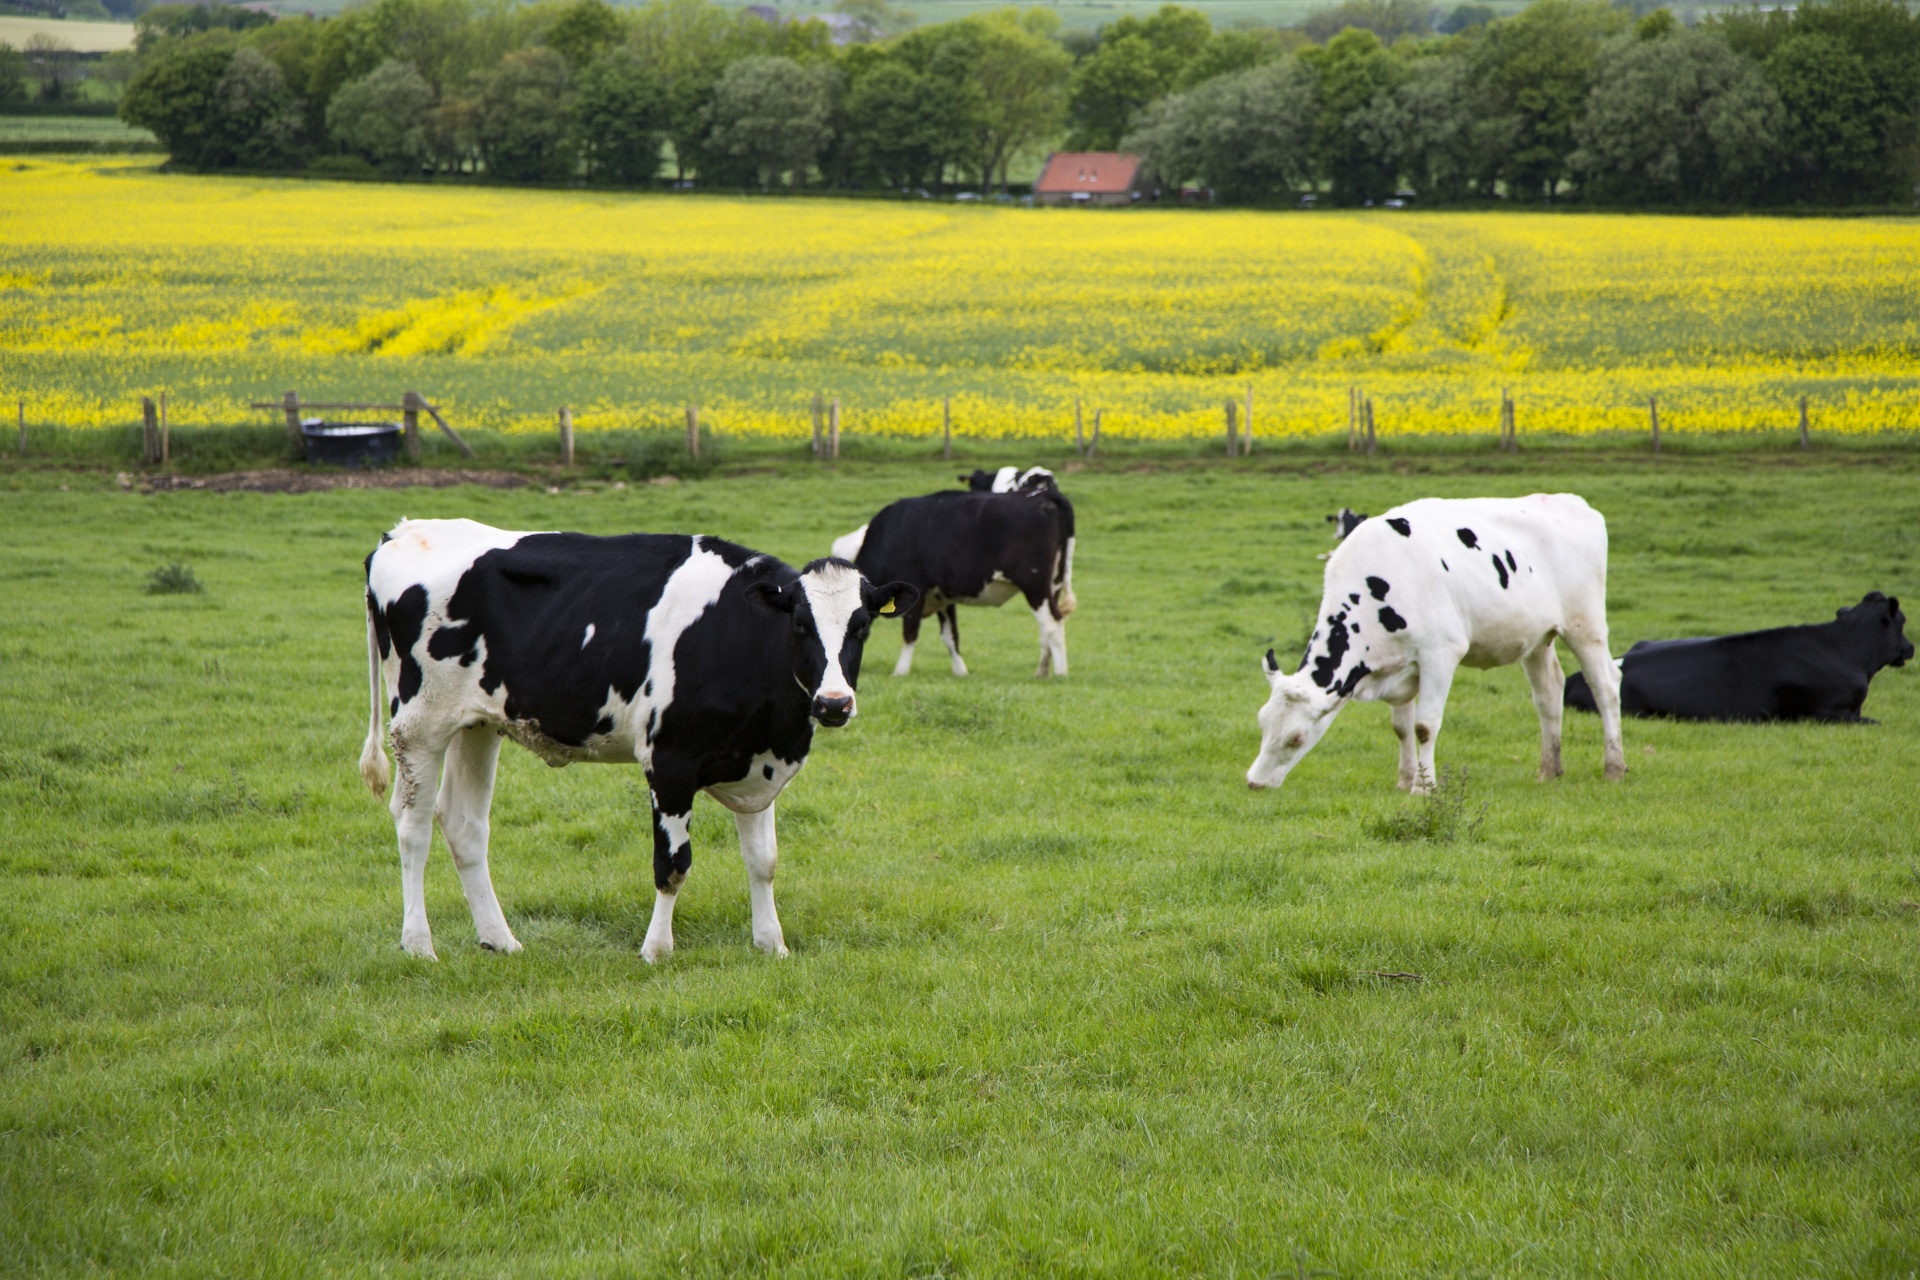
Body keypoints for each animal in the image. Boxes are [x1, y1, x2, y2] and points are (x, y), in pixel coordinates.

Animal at [366, 518, 921, 959]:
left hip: (477, 724)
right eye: (801, 625)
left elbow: (763, 862)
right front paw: (657, 949)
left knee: (463, 825)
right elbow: (672, 866)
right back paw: (419, 945)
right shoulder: (669, 762)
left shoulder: (757, 765)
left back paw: (501, 940)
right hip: (419, 725)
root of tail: (402, 532)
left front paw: (772, 945)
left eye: (862, 626)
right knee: (413, 825)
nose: (834, 703)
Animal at [829, 474, 1082, 679]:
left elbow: (910, 633)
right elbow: (951, 637)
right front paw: (961, 671)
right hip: (1053, 585)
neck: (887, 537)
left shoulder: (916, 588)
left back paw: (1060, 673)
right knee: (1046, 627)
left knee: (1052, 623)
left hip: (1035, 584)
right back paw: (1042, 670)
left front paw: (900, 671)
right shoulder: (943, 595)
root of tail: (1044, 495)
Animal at [1251, 495, 1628, 794]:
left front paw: (1423, 786)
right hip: (1537, 639)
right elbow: (1401, 727)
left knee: (1605, 686)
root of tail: (1570, 501)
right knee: (1548, 694)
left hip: (1585, 627)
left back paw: (1614, 767)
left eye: (1296, 738)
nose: (1255, 782)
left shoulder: (1440, 655)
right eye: (1262, 722)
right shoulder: (1398, 663)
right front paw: (1405, 779)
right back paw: (1549, 770)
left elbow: (1424, 726)